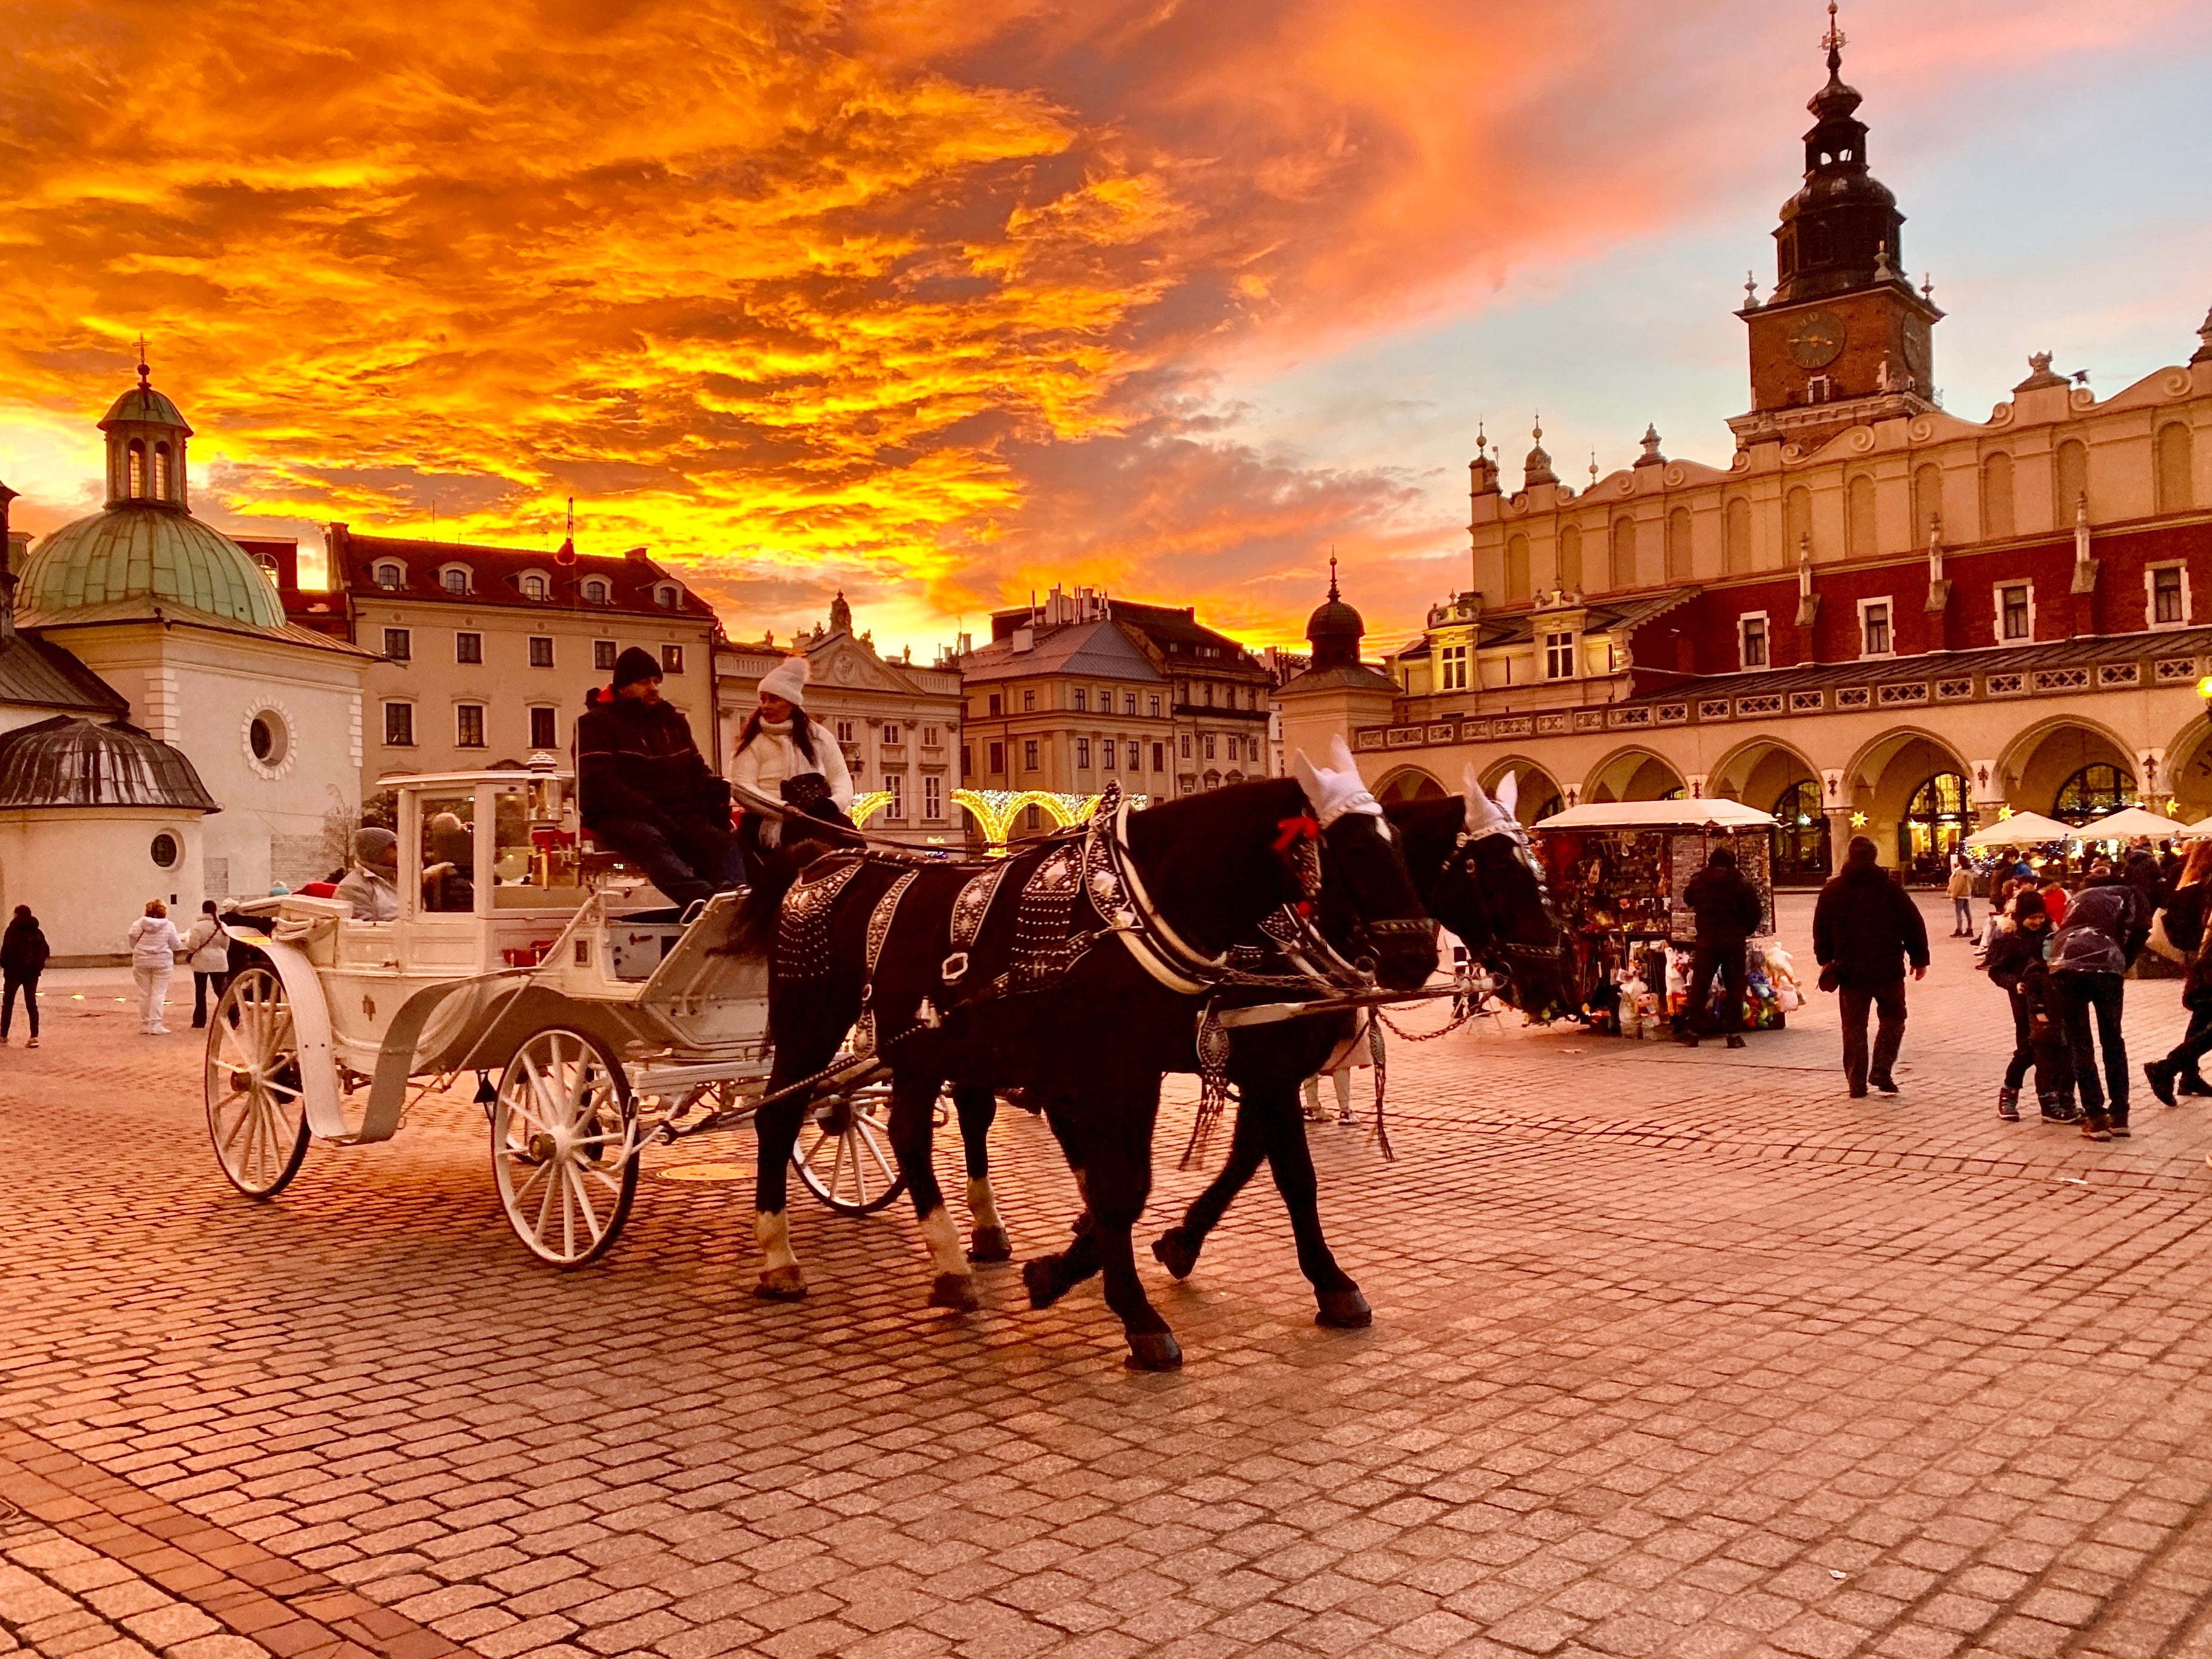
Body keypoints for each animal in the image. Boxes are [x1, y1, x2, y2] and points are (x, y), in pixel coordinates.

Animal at [747, 761, 1433, 1371]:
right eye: (1357, 849)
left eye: (1407, 846)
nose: (1421, 956)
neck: (1142, 907)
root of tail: (819, 861)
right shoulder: (1127, 1070)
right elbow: (1125, 1186)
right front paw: (1135, 1313)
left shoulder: (1188, 1069)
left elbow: (1272, 1176)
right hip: (816, 1025)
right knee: (779, 1117)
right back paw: (780, 1259)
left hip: (923, 1045)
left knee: (914, 1130)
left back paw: (954, 1260)